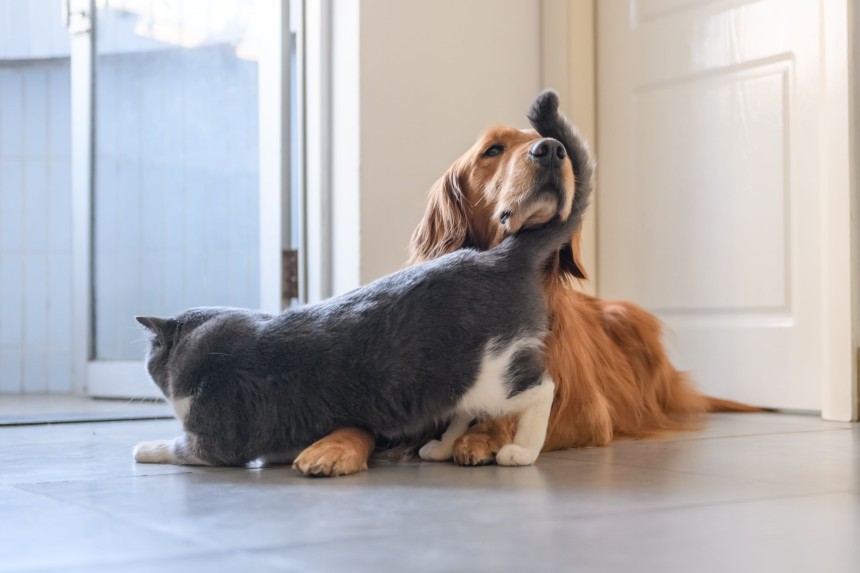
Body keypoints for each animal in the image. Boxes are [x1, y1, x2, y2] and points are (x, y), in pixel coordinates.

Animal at [134, 91, 592, 470]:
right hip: (461, 379)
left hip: (494, 372)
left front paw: (145, 448)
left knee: (542, 389)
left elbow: (181, 446)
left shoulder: (219, 435)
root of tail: (501, 255)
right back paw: (440, 448)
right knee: (464, 408)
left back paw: (521, 452)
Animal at [290, 88, 760, 474]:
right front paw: (332, 445)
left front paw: (484, 436)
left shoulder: (587, 411)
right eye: (493, 150)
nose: (552, 149)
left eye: (556, 144)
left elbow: (523, 408)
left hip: (629, 317)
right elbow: (366, 419)